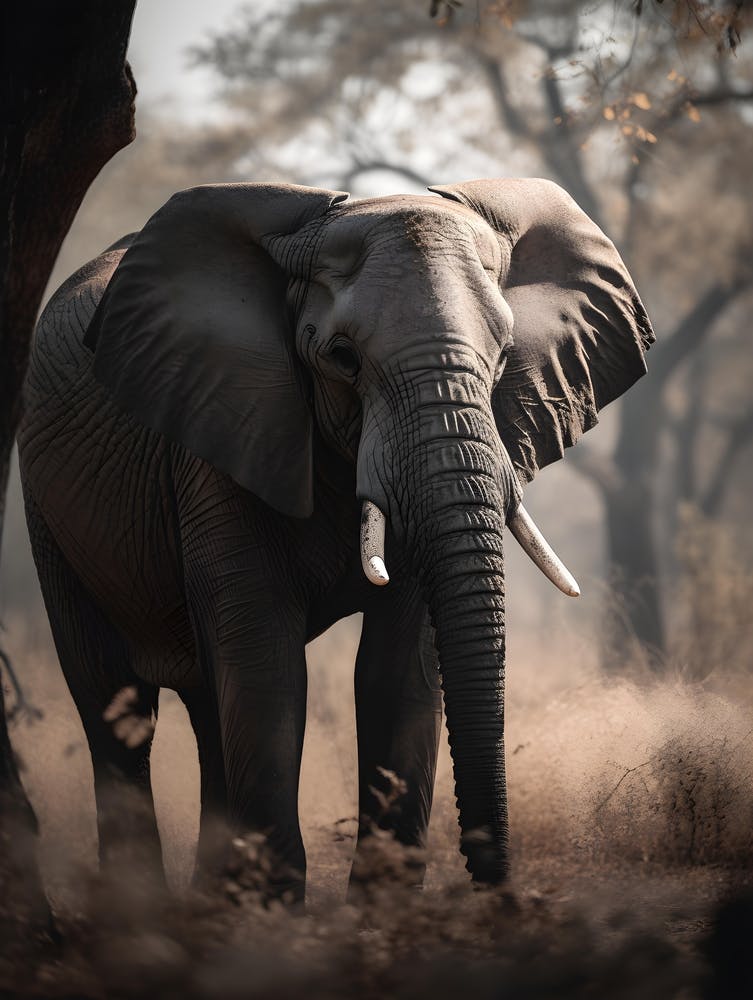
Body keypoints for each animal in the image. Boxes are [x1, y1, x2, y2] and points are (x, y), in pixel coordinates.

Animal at [18, 178, 653, 900]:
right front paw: (274, 911)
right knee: (112, 703)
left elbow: (397, 668)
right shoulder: (223, 429)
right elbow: (264, 660)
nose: (501, 895)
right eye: (341, 358)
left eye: (503, 353)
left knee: (205, 704)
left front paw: (378, 908)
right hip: (46, 508)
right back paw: (144, 910)